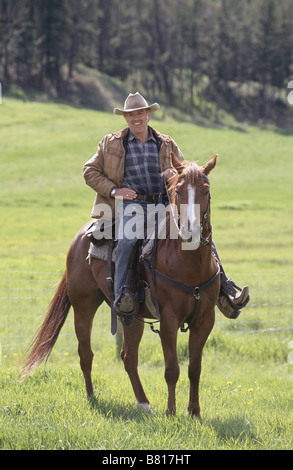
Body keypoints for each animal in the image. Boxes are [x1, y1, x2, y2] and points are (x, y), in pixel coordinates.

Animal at [20, 154, 219, 418]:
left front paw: (194, 412)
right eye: (178, 190)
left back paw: (143, 402)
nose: (191, 230)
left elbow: (194, 369)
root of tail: (81, 236)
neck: (189, 263)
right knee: (86, 354)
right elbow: (172, 369)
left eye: (206, 191)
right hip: (83, 307)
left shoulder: (205, 320)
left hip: (131, 317)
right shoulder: (169, 320)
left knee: (128, 356)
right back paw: (92, 397)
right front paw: (171, 412)